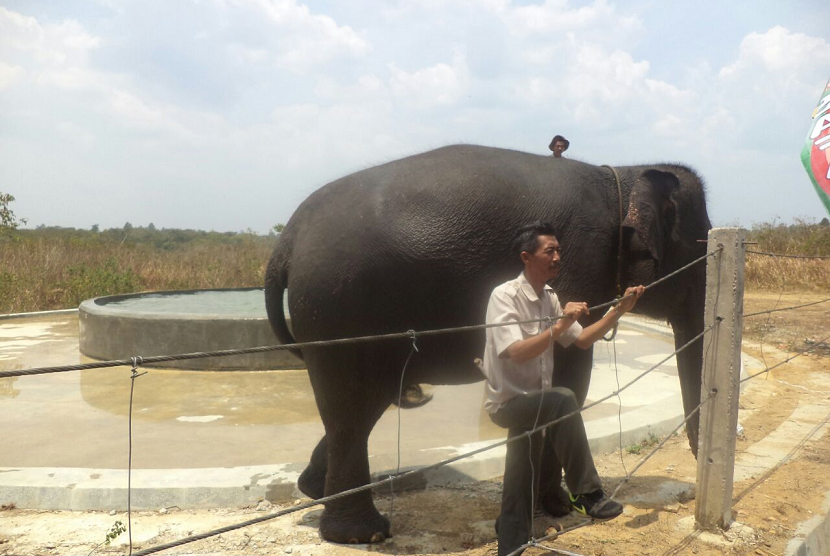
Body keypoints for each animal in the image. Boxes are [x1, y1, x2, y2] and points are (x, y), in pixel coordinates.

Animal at [266, 143, 716, 544]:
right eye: (700, 254)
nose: (697, 478)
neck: (621, 176)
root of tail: (286, 241)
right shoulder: (582, 260)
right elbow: (570, 377)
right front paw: (560, 508)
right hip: (340, 311)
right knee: (353, 406)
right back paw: (363, 534)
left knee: (363, 404)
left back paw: (314, 490)